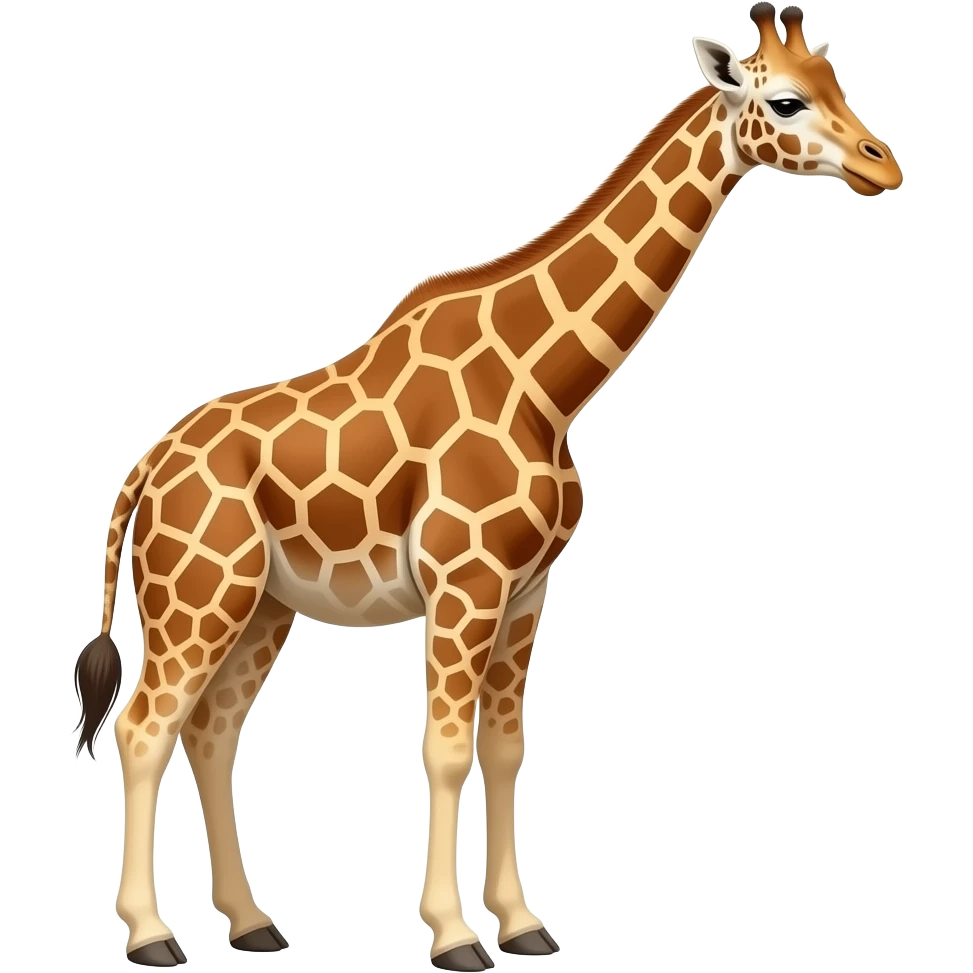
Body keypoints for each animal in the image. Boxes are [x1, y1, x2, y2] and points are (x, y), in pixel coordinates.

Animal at [71, 4, 902, 969]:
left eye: (837, 80)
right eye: (784, 99)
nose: (883, 164)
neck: (548, 384)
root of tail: (145, 469)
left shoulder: (527, 589)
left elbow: (505, 749)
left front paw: (523, 922)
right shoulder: (463, 584)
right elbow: (445, 748)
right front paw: (455, 934)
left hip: (263, 603)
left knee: (209, 731)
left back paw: (251, 922)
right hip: (199, 595)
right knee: (144, 725)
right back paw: (151, 933)